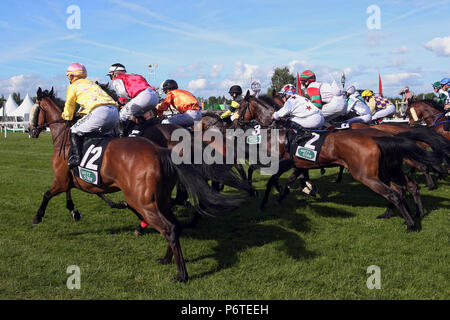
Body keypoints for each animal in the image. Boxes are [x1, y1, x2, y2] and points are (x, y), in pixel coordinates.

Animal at [29, 86, 246, 282]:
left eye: (34, 109)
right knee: (178, 214)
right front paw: (77, 210)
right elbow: (81, 192)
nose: (31, 130)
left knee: (173, 218)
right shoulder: (81, 180)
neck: (65, 139)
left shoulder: (63, 178)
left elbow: (48, 194)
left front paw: (40, 216)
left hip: (147, 195)